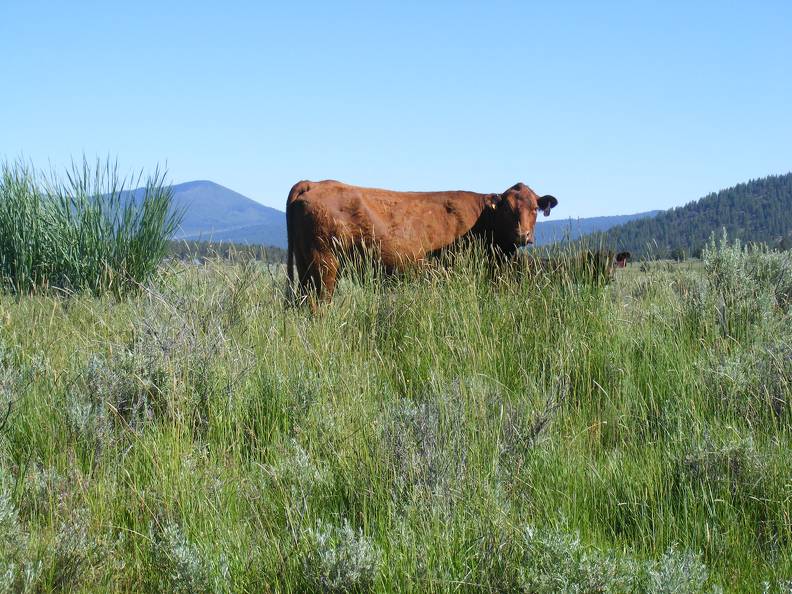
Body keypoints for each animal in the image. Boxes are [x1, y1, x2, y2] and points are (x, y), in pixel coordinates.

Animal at [284, 178, 556, 302]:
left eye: (534, 209)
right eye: (508, 209)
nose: (523, 234)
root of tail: (314, 183)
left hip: (305, 265)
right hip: (324, 266)